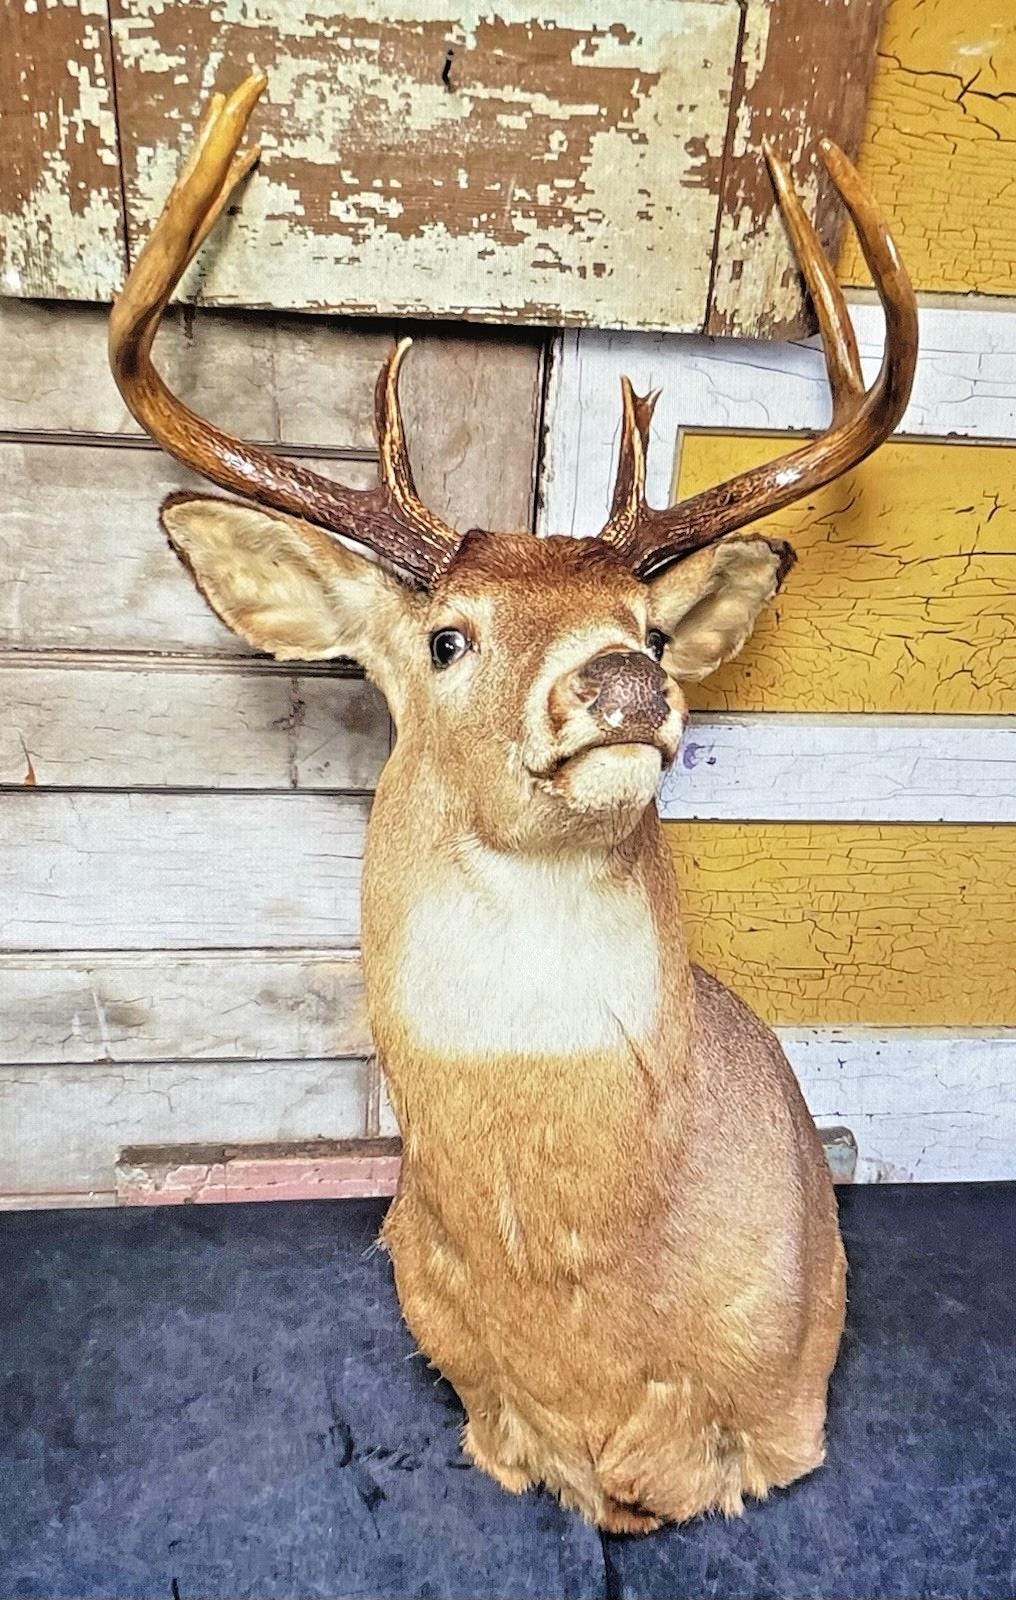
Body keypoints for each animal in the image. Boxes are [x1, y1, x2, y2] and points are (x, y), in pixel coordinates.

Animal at [108, 74, 917, 1532]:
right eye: (447, 638)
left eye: (649, 631)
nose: (623, 682)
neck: (577, 1292)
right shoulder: (470, 1377)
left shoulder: (783, 1403)